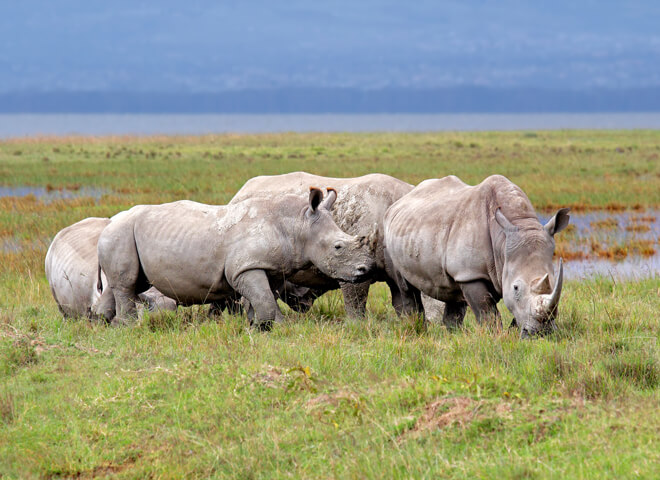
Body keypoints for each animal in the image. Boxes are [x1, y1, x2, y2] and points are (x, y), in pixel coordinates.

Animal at [97, 188, 375, 329]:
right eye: (338, 247)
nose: (365, 270)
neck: (297, 225)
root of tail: (109, 222)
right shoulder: (244, 267)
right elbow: (264, 300)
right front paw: (265, 328)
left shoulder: (270, 267)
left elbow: (264, 298)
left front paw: (267, 327)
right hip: (120, 233)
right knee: (126, 284)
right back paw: (130, 327)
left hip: (123, 235)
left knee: (127, 283)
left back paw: (105, 324)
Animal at [230, 171, 425, 318]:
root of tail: (238, 194)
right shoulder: (352, 266)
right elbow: (356, 303)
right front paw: (357, 327)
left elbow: (406, 306)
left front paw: (411, 326)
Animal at [383, 175, 570, 337]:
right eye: (516, 288)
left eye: (555, 283)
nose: (543, 333)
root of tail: (401, 200)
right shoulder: (471, 274)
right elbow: (487, 313)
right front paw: (494, 337)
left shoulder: (484, 271)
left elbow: (516, 313)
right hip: (389, 234)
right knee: (405, 286)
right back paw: (416, 330)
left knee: (453, 294)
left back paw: (453, 336)